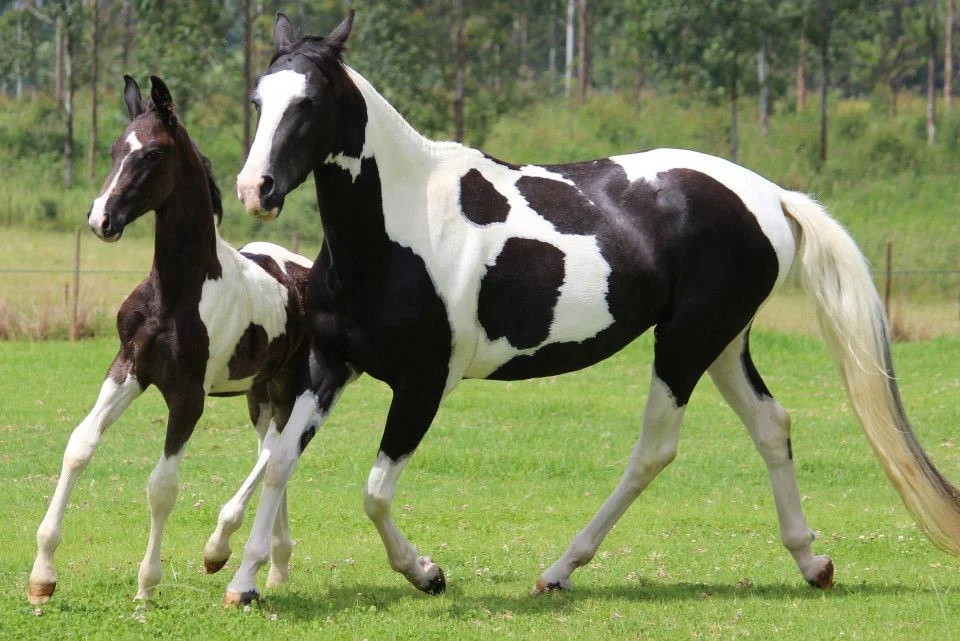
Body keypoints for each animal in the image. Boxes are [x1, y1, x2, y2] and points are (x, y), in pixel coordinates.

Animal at [27, 75, 349, 605]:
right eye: (116, 149)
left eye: (153, 153)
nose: (100, 219)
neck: (178, 291)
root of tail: (306, 272)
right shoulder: (128, 368)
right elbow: (79, 445)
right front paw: (42, 577)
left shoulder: (188, 396)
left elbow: (162, 486)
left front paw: (146, 584)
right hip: (264, 393)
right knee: (274, 449)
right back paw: (275, 566)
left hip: (309, 387)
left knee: (281, 452)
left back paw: (222, 549)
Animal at [225, 11, 960, 603]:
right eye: (259, 99)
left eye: (310, 102)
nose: (255, 189)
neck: (399, 230)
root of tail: (770, 195)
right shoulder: (329, 366)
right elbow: (280, 459)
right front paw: (243, 578)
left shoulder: (423, 384)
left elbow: (374, 491)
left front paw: (425, 572)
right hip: (723, 343)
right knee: (771, 426)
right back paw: (812, 562)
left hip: (684, 343)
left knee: (654, 450)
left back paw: (559, 569)